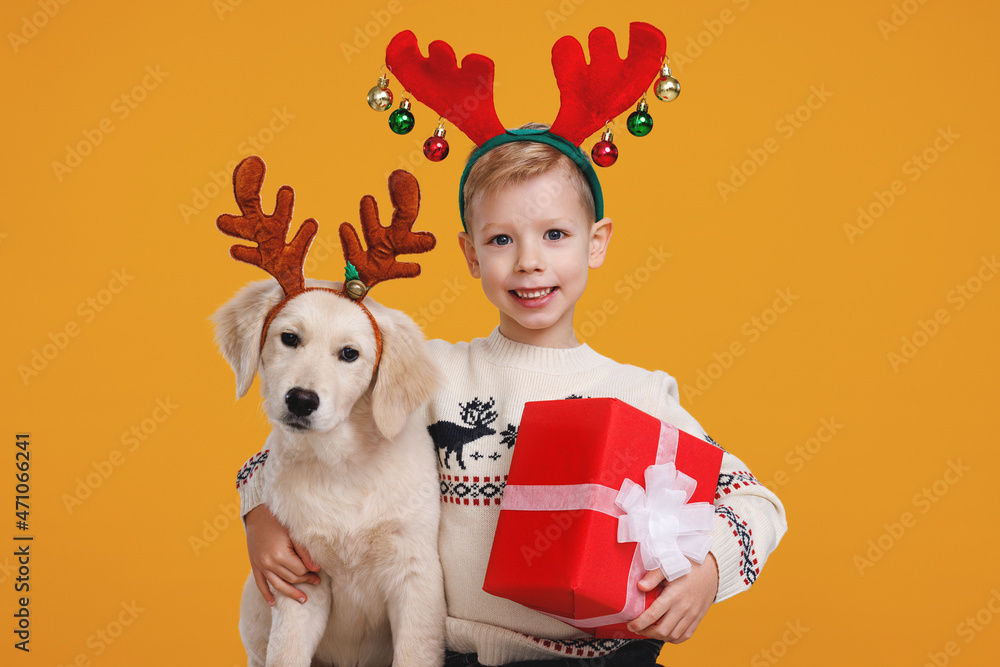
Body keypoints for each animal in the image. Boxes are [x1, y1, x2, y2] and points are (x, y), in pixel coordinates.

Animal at [213, 280, 444, 667]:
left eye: (349, 354)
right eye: (289, 338)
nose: (301, 400)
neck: (341, 465)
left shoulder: (415, 574)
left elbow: (414, 652)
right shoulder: (300, 578)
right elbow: (287, 653)